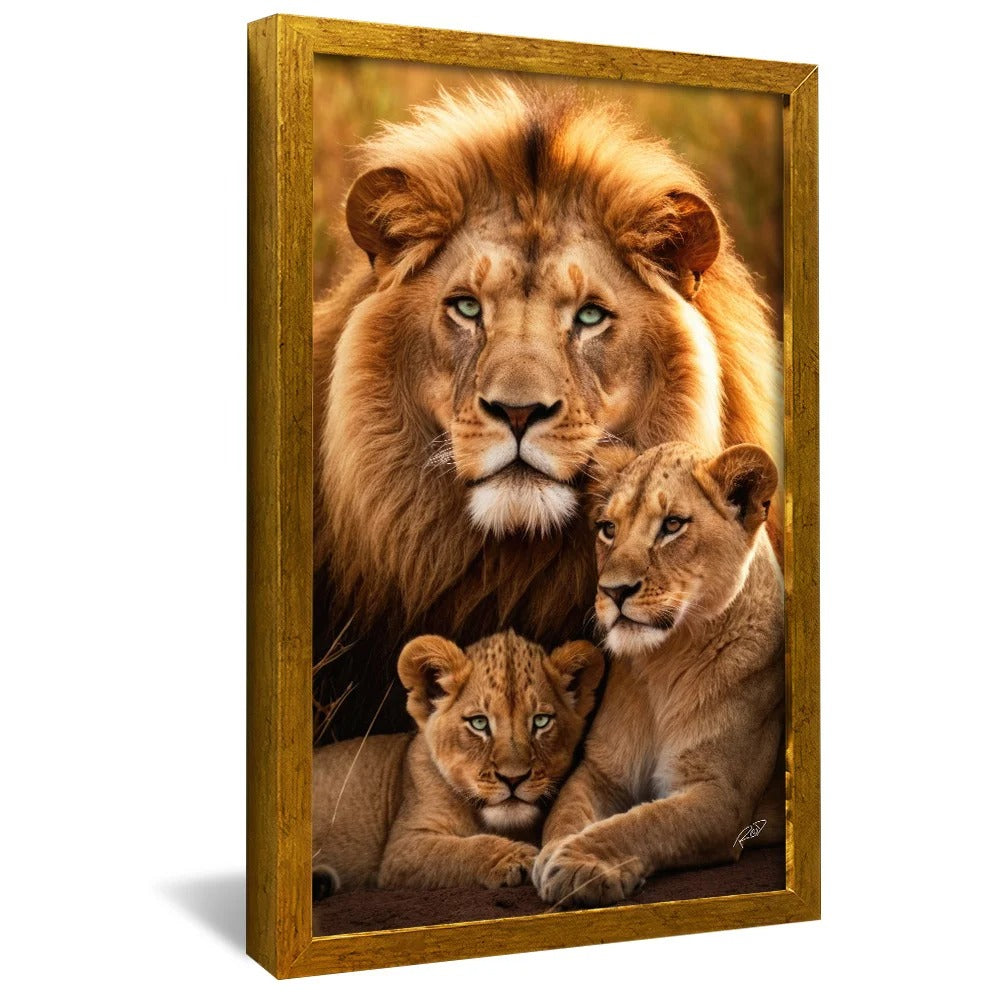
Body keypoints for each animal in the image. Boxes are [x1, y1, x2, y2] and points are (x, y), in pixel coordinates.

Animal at [312, 629, 605, 896]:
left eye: (541, 721)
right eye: (479, 723)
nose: (513, 778)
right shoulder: (402, 848)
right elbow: (460, 849)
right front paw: (520, 857)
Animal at [532, 441, 784, 907]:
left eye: (672, 525)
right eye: (608, 528)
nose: (614, 591)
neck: (663, 664)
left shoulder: (721, 797)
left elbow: (645, 823)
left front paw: (578, 862)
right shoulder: (599, 772)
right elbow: (564, 817)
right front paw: (559, 852)